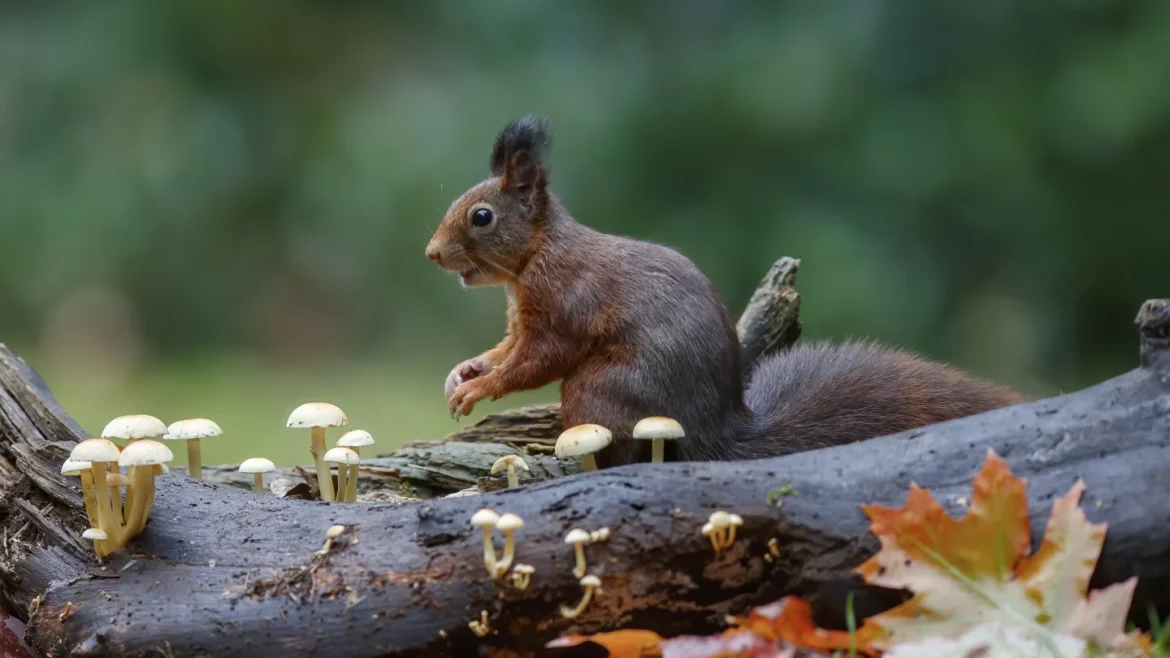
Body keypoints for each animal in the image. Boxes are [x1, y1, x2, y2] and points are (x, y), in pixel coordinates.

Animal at [423, 116, 1024, 465]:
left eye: (481, 217)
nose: (431, 253)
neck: (532, 260)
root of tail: (717, 433)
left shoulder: (566, 302)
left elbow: (539, 358)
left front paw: (481, 388)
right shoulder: (520, 316)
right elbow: (506, 348)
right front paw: (465, 372)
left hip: (599, 389)